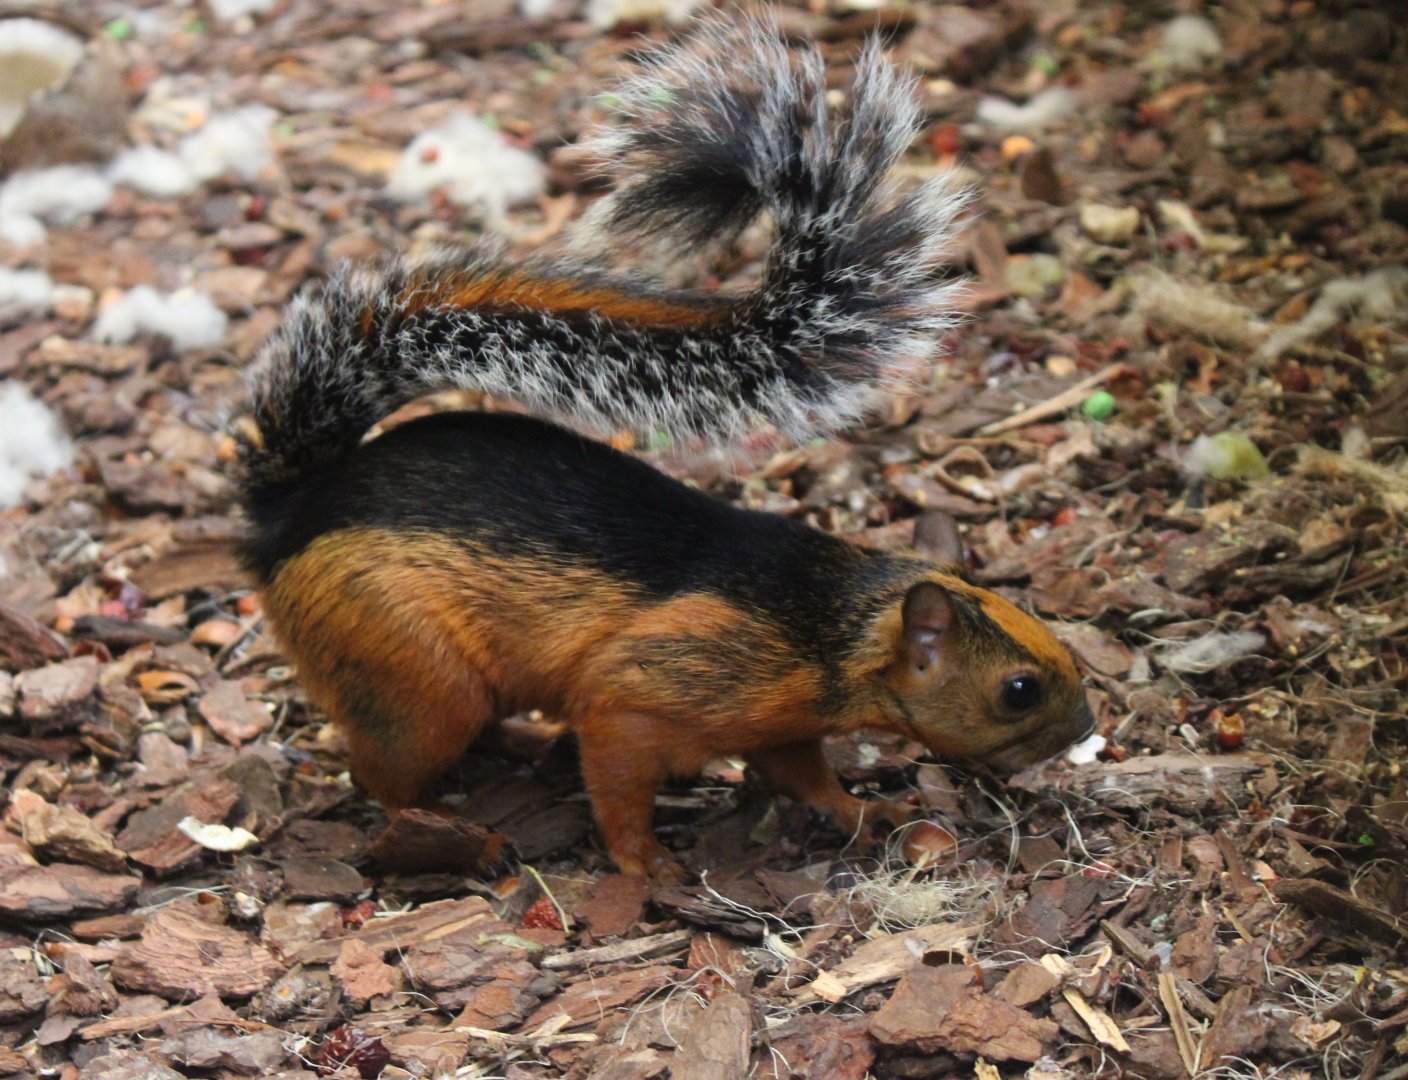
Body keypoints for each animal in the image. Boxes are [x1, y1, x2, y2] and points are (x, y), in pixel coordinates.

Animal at [237, 24, 1095, 879]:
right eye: (1018, 690)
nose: (1087, 725)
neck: (827, 623)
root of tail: (289, 513)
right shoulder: (646, 692)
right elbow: (618, 775)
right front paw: (647, 866)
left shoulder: (779, 723)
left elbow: (805, 776)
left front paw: (867, 810)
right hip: (413, 673)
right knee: (384, 771)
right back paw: (448, 828)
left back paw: (518, 741)